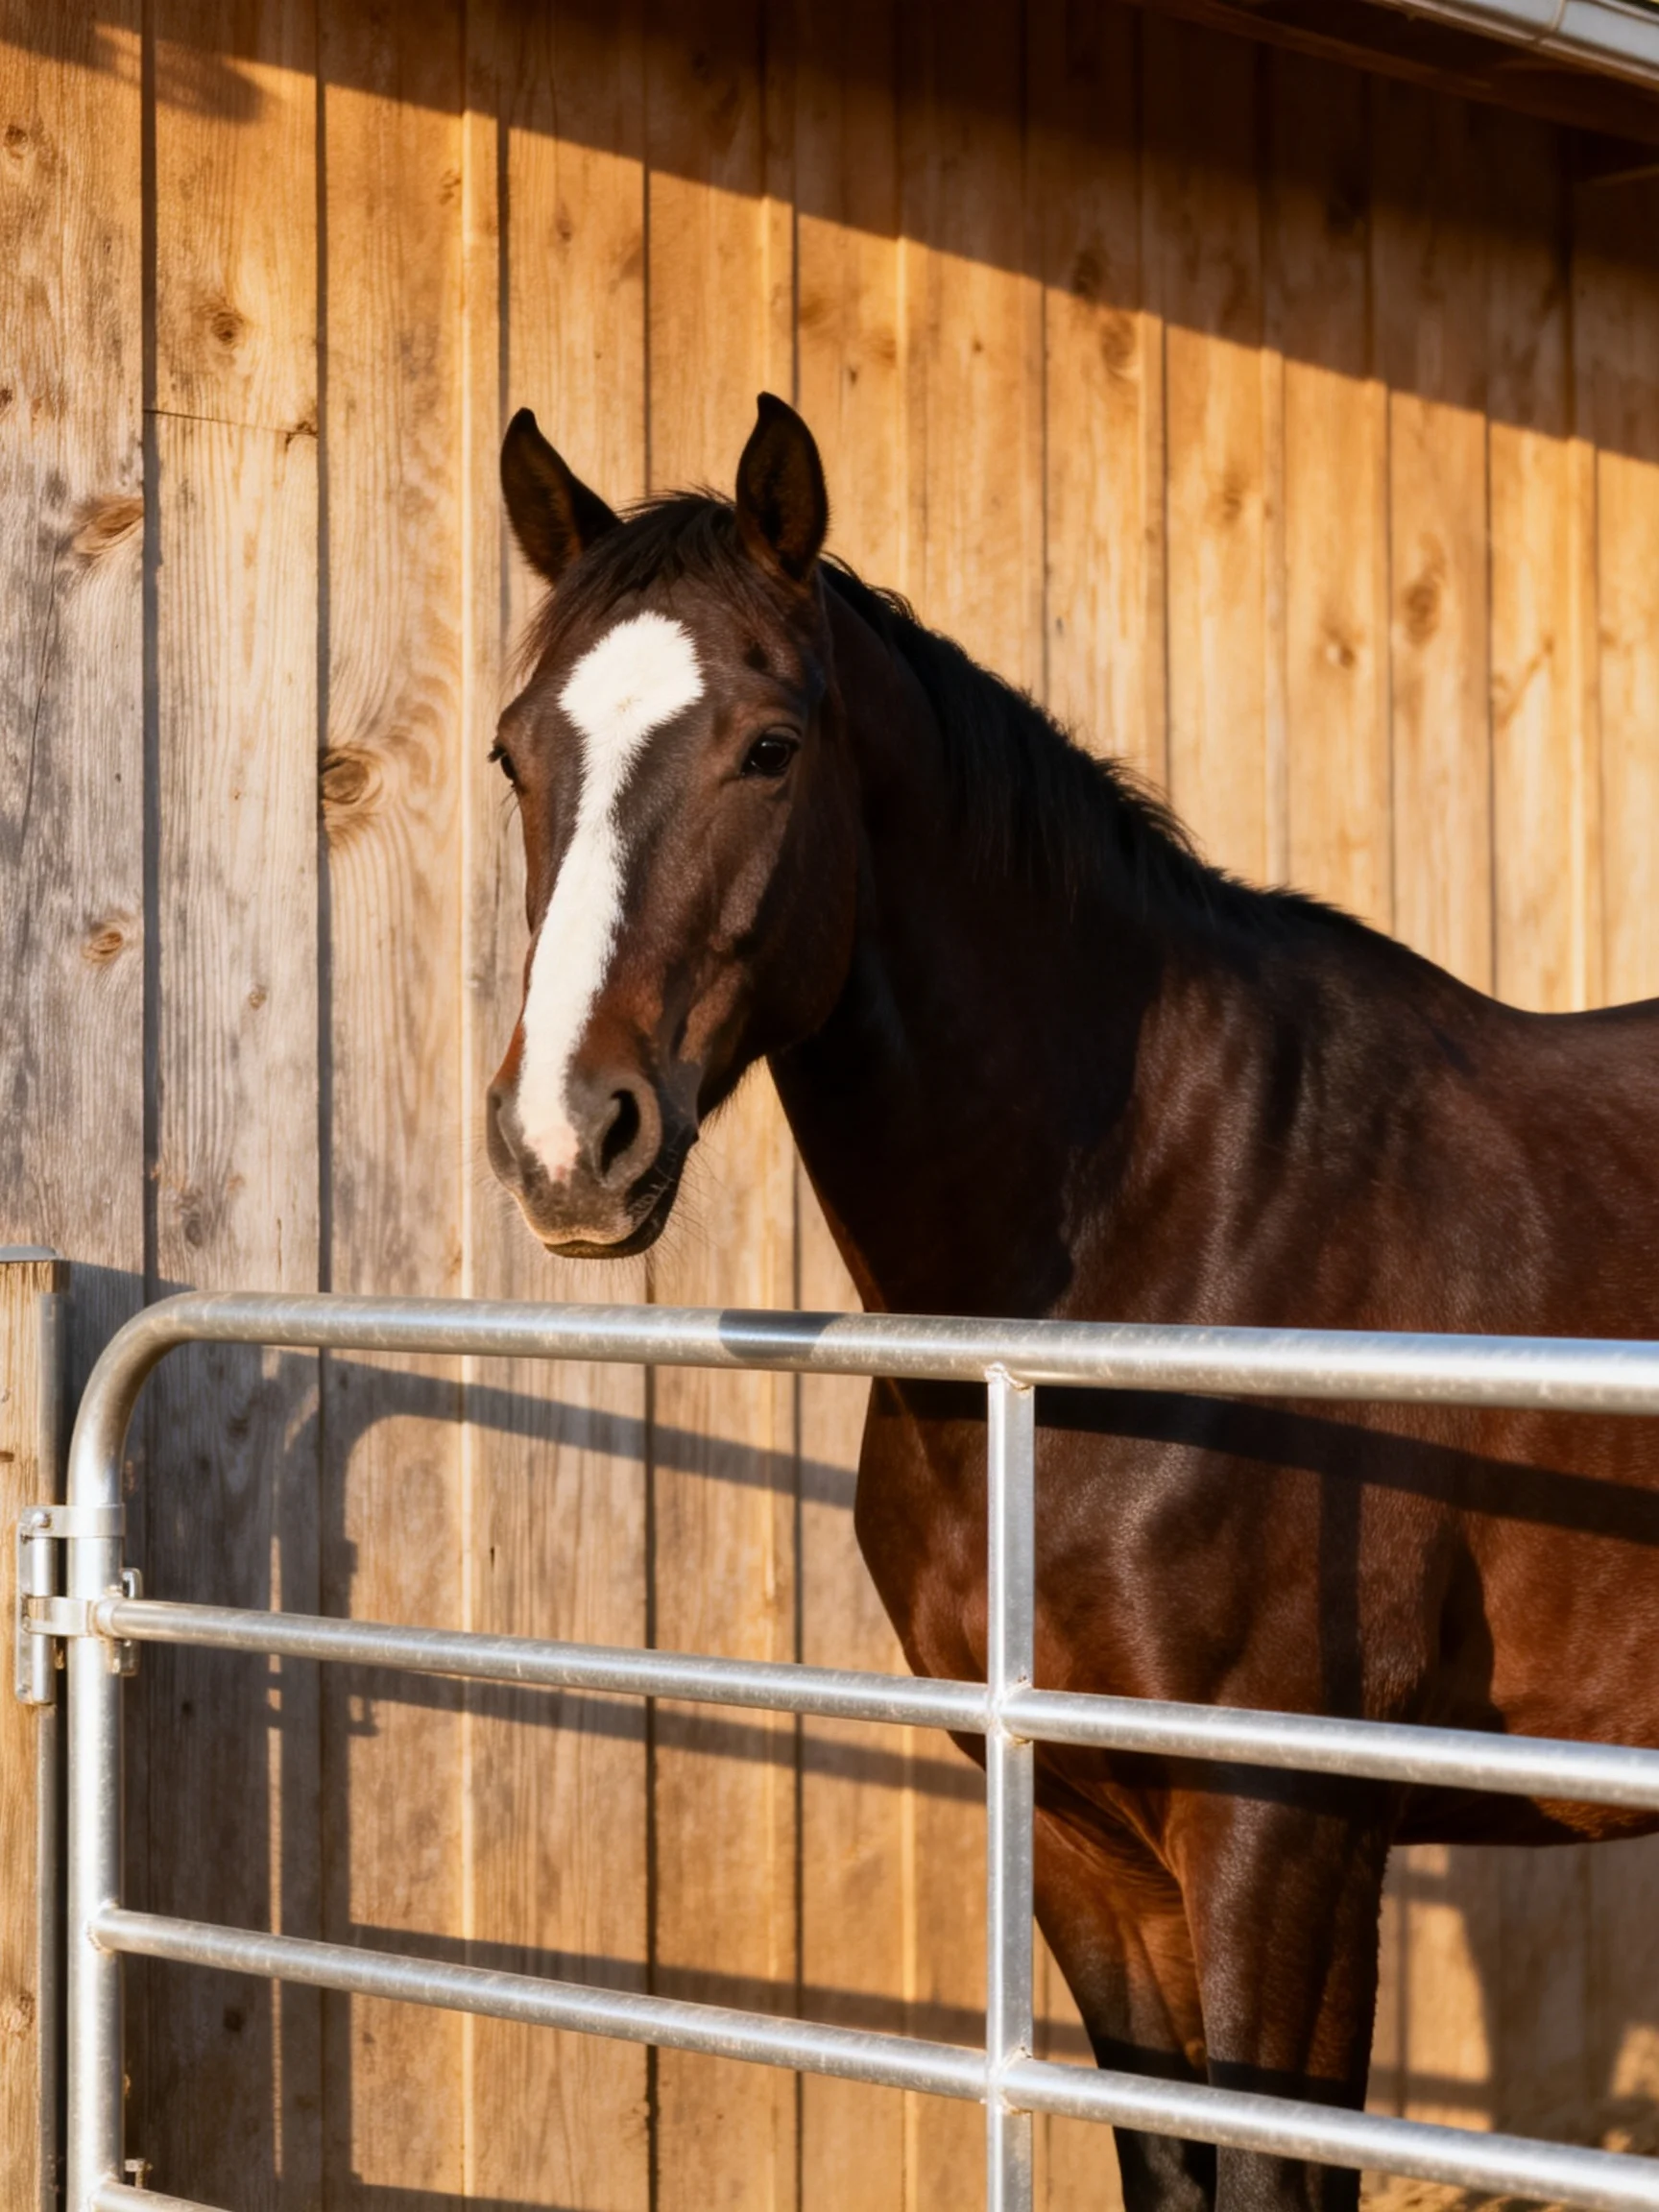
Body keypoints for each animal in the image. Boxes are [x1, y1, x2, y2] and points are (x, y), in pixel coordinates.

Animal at [482, 391, 1659, 2212]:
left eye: (769, 747)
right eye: (516, 754)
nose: (566, 1139)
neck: (1150, 1267)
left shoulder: (1280, 1827)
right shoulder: (1080, 1832)